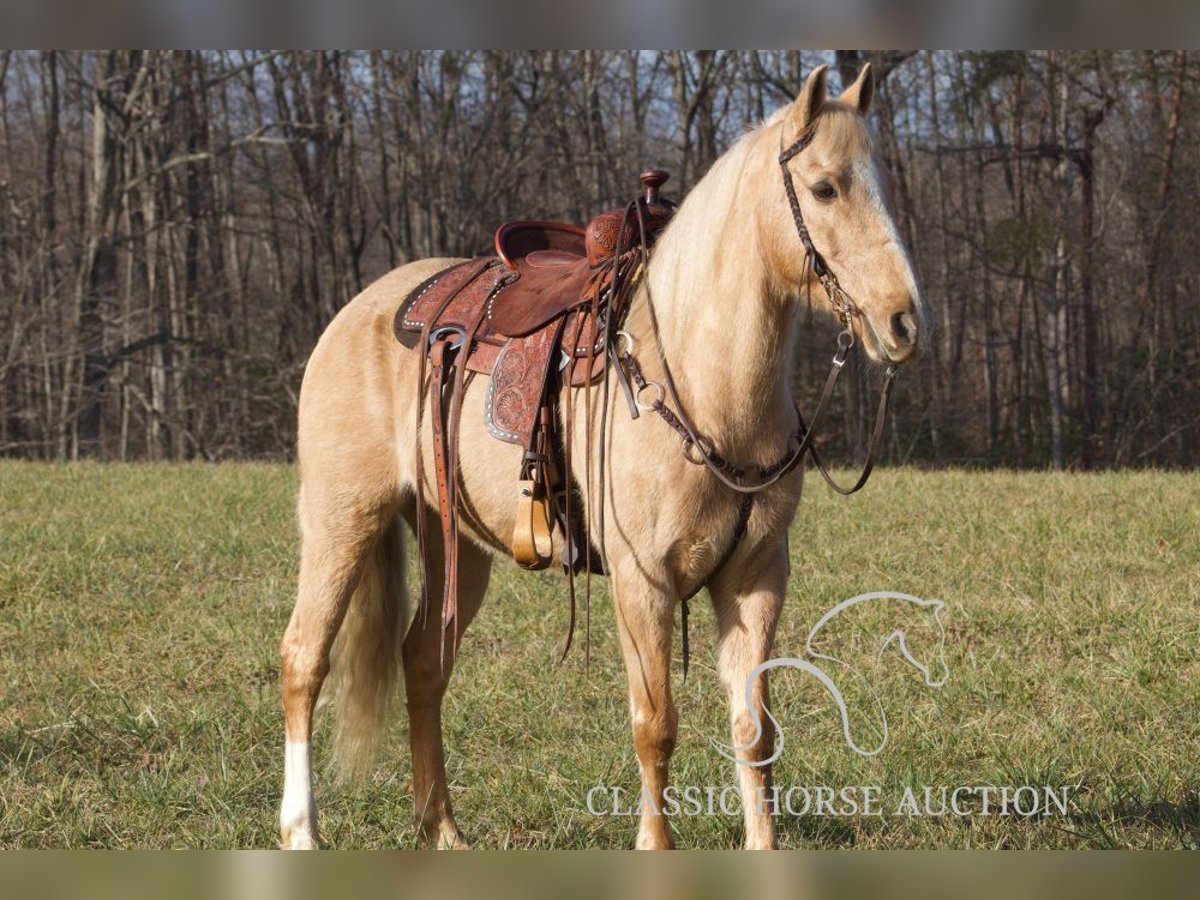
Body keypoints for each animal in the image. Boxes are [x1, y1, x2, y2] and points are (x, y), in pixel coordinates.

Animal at [276, 65, 921, 854]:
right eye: (825, 187)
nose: (903, 321)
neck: (701, 386)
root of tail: (359, 311)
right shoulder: (642, 584)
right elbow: (656, 726)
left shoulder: (756, 578)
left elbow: (753, 729)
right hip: (343, 520)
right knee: (305, 660)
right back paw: (302, 832)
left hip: (456, 543)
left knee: (423, 664)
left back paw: (445, 832)